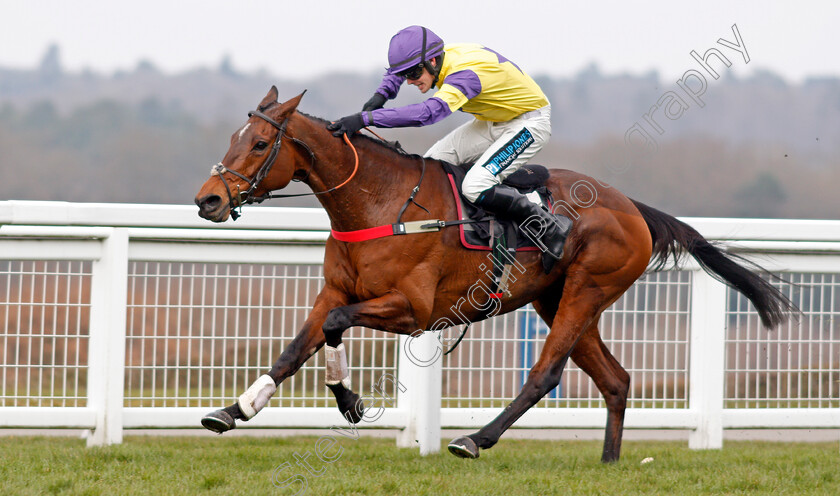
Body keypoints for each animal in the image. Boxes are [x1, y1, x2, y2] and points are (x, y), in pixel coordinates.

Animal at [194, 87, 792, 464]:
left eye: (258, 143)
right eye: (231, 138)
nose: (208, 200)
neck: (378, 204)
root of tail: (632, 207)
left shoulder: (413, 311)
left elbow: (337, 326)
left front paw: (349, 400)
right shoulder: (335, 290)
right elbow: (298, 346)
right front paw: (236, 408)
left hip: (585, 291)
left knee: (545, 374)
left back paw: (475, 439)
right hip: (558, 300)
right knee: (617, 380)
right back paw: (609, 461)